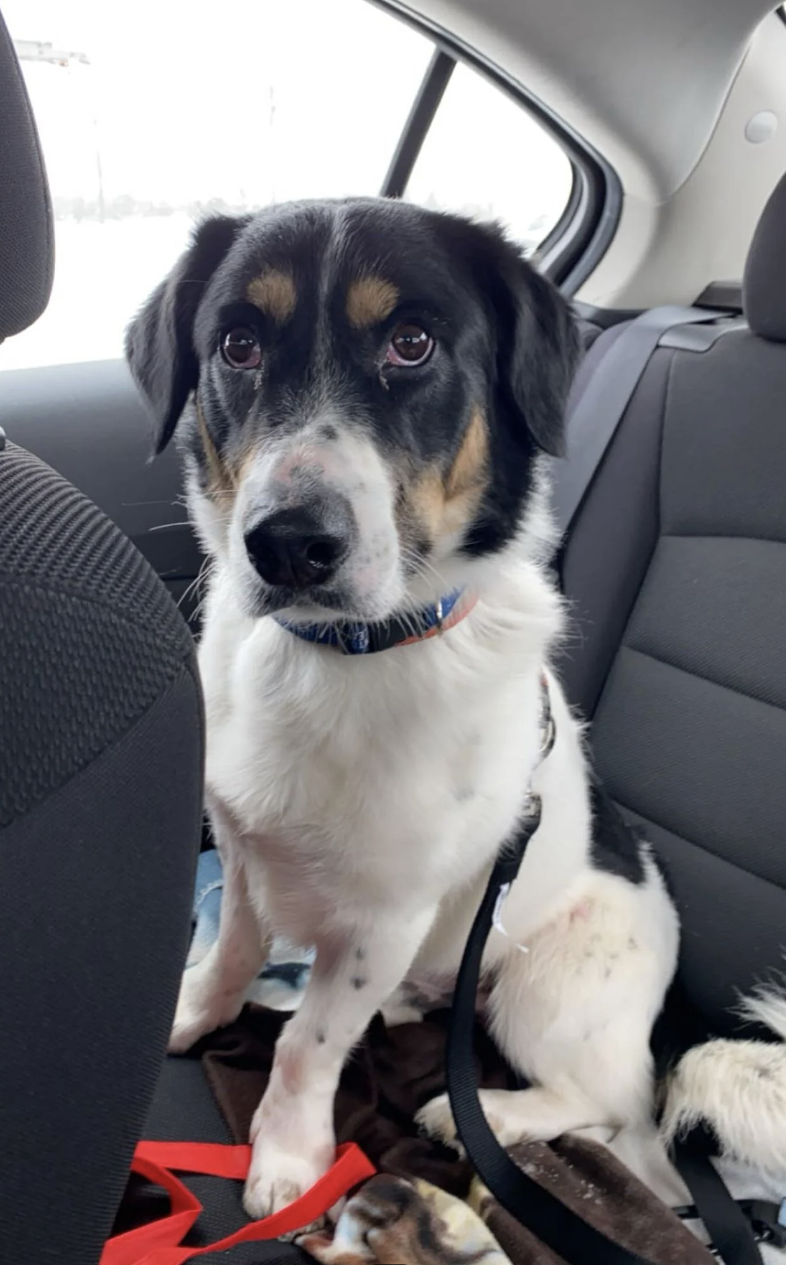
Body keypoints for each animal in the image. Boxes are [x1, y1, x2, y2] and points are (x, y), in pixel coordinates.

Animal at [127, 199, 759, 1224]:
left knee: (616, 1116)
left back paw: (490, 1116)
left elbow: (308, 1043)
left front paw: (290, 1152)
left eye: (412, 342)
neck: (343, 655)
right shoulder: (246, 850)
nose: (287, 545)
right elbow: (230, 951)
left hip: (546, 990)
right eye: (238, 344)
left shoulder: (384, 916)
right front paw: (194, 1012)